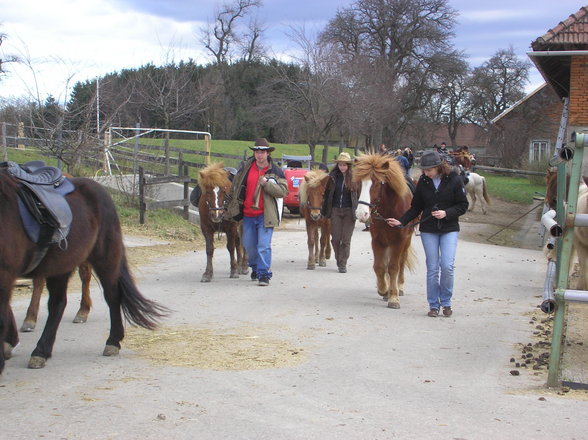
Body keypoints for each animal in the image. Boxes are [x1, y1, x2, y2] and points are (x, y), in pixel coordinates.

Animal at [0, 164, 168, 372]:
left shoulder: (5, 274)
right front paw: (9, 343)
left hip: (104, 258)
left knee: (112, 296)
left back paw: (112, 341)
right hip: (60, 265)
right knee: (58, 303)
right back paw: (42, 350)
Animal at [352, 155, 416, 310]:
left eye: (376, 183)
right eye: (359, 182)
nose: (361, 213)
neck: (389, 210)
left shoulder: (398, 241)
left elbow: (393, 267)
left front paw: (393, 297)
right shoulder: (377, 240)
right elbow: (380, 267)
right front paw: (384, 289)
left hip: (405, 241)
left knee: (401, 262)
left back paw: (399, 287)